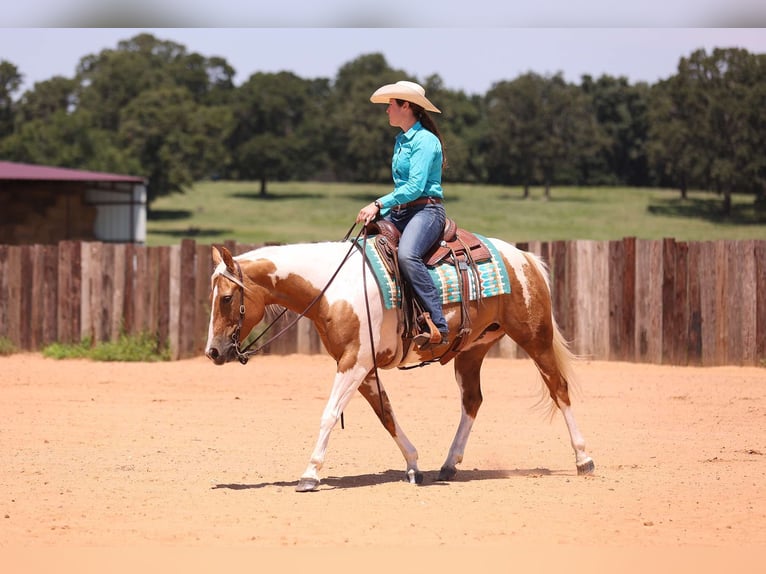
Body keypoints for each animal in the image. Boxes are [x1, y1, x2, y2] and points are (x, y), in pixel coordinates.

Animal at [202, 235, 592, 496]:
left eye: (226, 298)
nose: (213, 352)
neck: (333, 288)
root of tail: (523, 258)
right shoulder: (362, 368)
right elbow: (386, 415)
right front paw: (415, 466)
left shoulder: (353, 363)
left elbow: (329, 414)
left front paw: (310, 474)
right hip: (471, 351)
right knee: (472, 401)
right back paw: (448, 465)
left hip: (535, 338)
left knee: (559, 389)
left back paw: (583, 459)